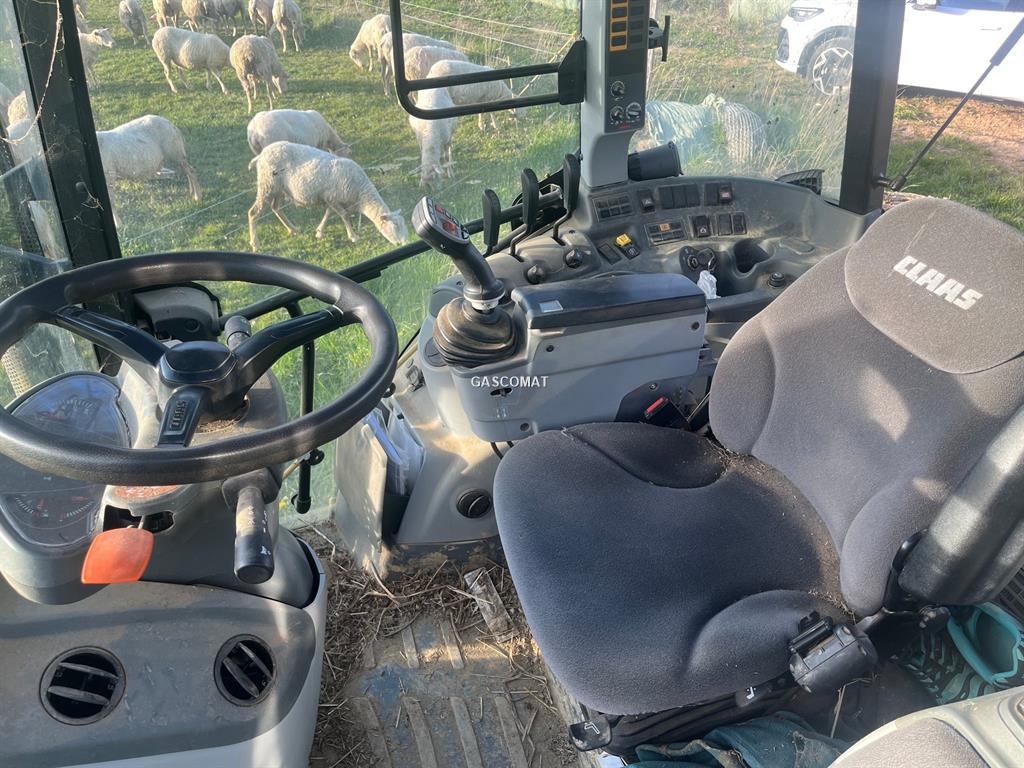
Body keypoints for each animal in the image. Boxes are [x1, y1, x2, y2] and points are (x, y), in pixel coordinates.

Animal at [248, 141, 407, 249]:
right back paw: (255, 244)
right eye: (395, 226)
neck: (361, 194)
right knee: (254, 212)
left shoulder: (330, 198)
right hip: (267, 185)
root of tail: (260, 155)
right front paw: (353, 237)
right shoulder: (333, 198)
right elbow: (344, 215)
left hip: (279, 188)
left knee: (275, 208)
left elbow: (328, 213)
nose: (406, 242)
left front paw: (319, 232)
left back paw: (293, 229)